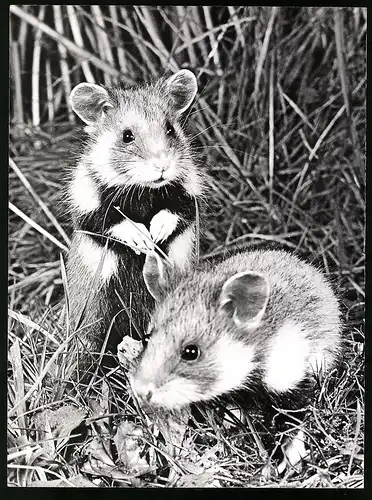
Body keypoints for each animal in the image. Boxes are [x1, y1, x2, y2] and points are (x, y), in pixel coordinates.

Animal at [66, 69, 208, 376]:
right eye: (126, 136)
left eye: (170, 129)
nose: (162, 167)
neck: (143, 191)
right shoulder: (87, 209)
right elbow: (112, 221)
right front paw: (144, 240)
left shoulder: (190, 196)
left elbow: (176, 211)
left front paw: (156, 235)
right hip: (91, 320)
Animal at [130, 250, 342, 472]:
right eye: (146, 339)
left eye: (191, 352)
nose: (140, 392)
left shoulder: (292, 385)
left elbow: (293, 427)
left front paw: (285, 465)